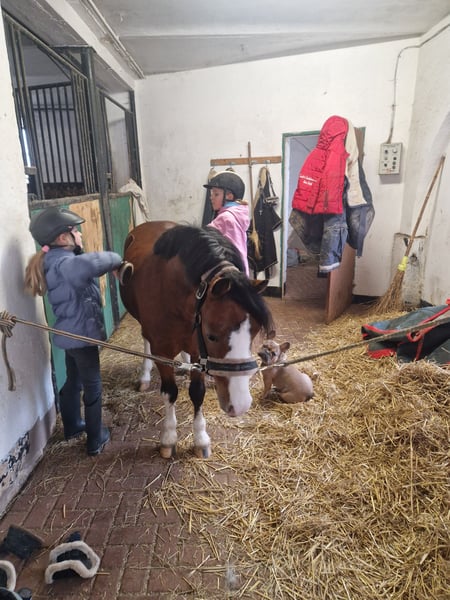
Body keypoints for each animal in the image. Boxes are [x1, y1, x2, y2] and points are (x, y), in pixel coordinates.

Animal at [119, 221, 273, 458]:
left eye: (254, 332)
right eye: (212, 335)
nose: (240, 404)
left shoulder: (197, 351)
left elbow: (197, 392)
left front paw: (200, 438)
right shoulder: (162, 351)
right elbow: (170, 392)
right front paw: (169, 437)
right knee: (145, 340)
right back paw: (144, 375)